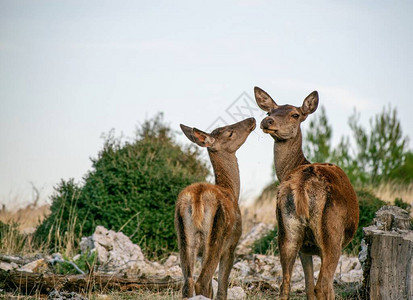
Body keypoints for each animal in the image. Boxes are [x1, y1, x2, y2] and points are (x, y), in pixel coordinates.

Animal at [175, 116, 256, 298]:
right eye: (229, 132)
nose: (251, 119)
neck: (231, 190)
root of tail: (197, 197)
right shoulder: (232, 245)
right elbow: (221, 288)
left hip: (184, 237)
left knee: (188, 282)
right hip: (217, 235)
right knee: (202, 281)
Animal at [253, 87, 358, 300]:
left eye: (295, 114)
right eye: (269, 112)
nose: (268, 121)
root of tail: (303, 182)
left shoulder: (306, 249)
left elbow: (307, 286)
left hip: (286, 230)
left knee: (285, 283)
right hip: (332, 235)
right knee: (323, 284)